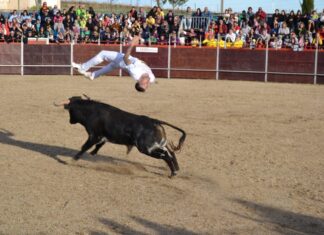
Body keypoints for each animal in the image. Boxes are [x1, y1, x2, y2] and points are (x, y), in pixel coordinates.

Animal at [57, 96, 186, 176]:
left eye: (70, 111)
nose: (70, 121)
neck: (91, 112)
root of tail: (154, 121)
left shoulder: (94, 136)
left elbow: (84, 147)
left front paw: (70, 160)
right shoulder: (102, 137)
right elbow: (98, 146)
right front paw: (92, 153)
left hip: (146, 148)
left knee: (166, 154)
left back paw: (173, 173)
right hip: (157, 144)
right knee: (171, 152)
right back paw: (177, 169)